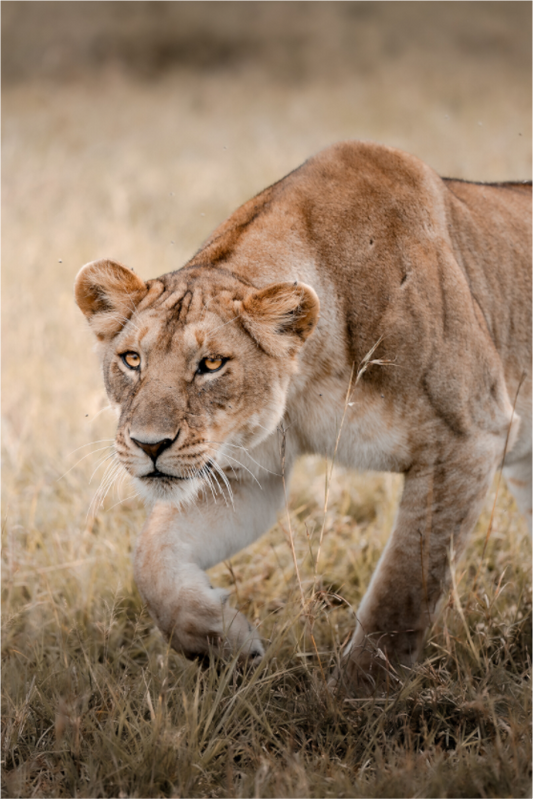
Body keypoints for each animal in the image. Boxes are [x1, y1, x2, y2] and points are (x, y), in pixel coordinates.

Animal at [75, 141, 533, 693]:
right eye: (132, 359)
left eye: (211, 364)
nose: (149, 445)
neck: (308, 377)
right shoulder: (247, 473)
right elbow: (150, 559)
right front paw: (224, 643)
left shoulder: (468, 439)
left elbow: (403, 588)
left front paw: (357, 697)